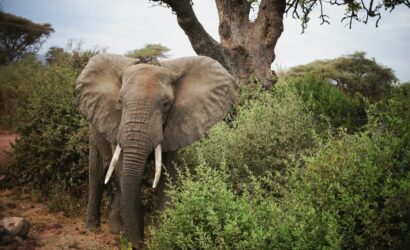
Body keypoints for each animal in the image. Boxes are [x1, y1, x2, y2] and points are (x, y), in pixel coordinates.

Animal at [75, 53, 239, 247]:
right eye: (120, 101)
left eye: (167, 104)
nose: (140, 244)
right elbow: (122, 169)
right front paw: (133, 238)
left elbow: (169, 175)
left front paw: (165, 236)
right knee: (99, 173)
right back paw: (93, 230)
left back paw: (116, 230)